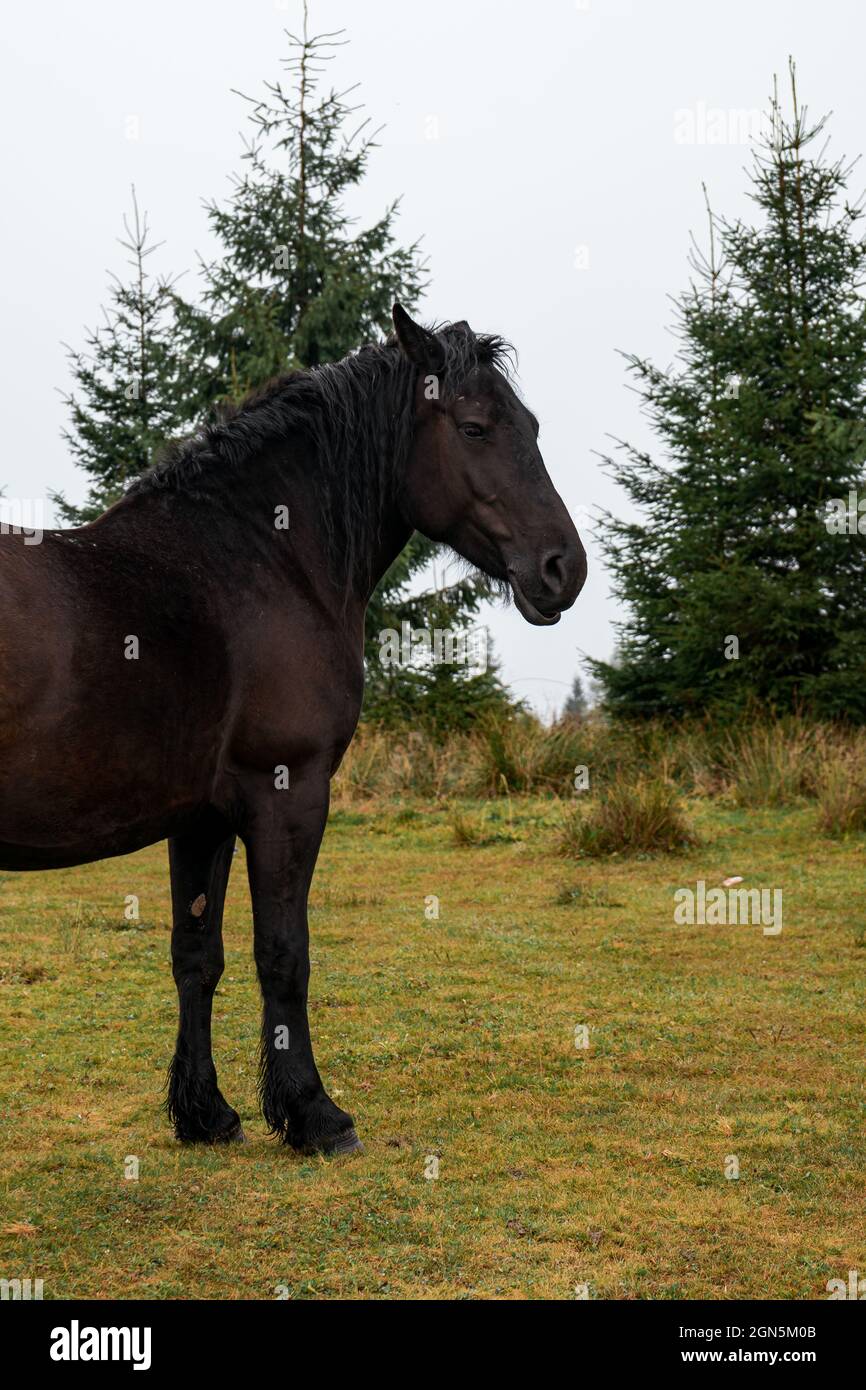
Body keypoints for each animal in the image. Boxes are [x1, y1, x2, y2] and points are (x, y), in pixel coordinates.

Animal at [0, 304, 586, 1154]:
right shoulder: (289, 793)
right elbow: (284, 956)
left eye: (531, 426)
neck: (261, 561)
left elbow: (196, 957)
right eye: (477, 427)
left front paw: (206, 1112)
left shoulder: (201, 819)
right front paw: (314, 1114)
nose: (562, 569)